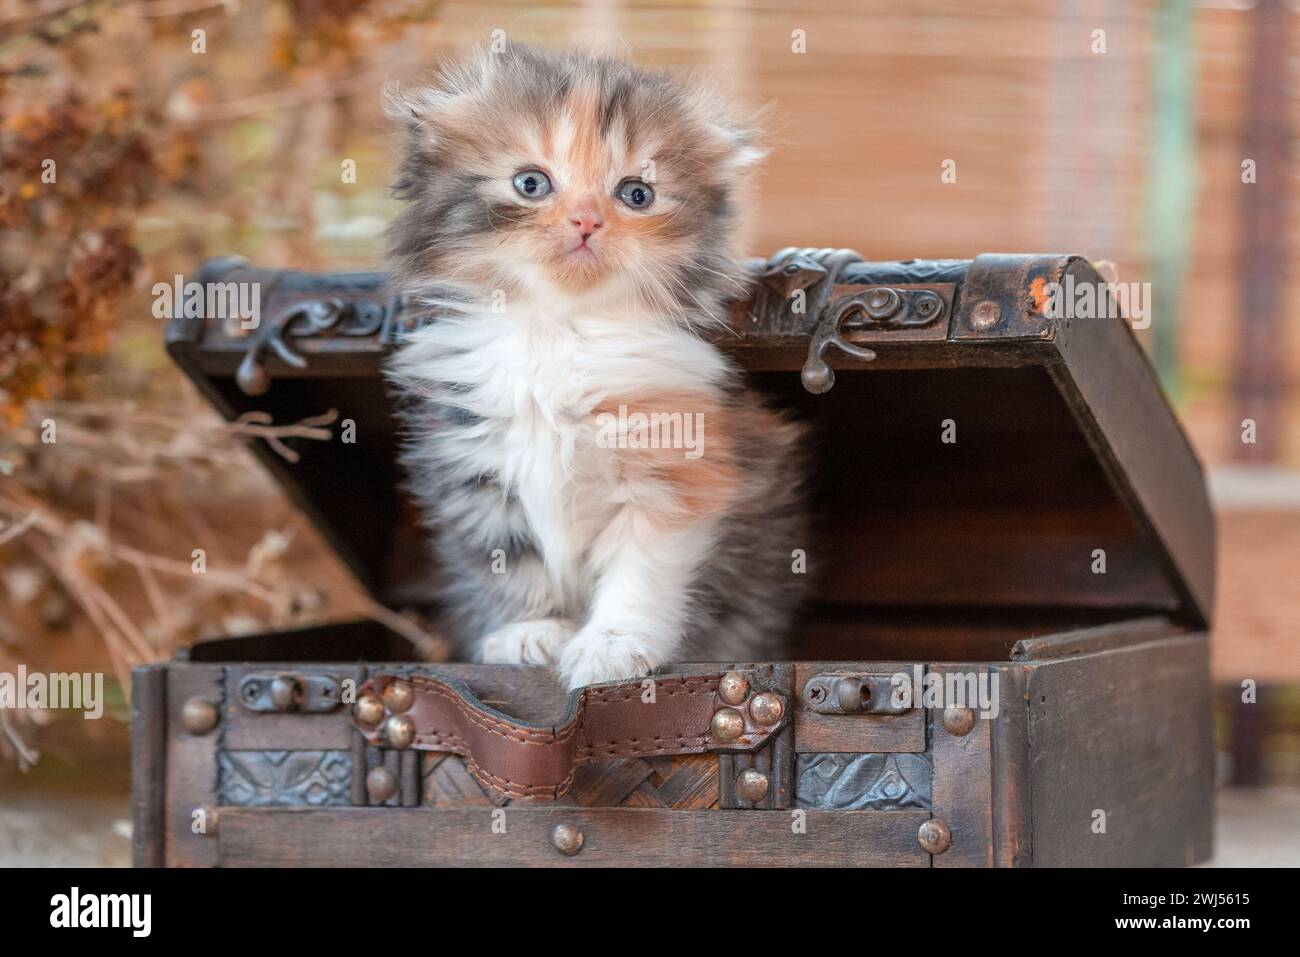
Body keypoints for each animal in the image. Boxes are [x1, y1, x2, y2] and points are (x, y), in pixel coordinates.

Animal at [382, 44, 800, 686]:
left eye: (636, 194)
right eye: (531, 183)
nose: (585, 220)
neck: (558, 332)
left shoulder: (677, 468)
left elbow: (639, 572)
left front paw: (611, 648)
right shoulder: (475, 474)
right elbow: (508, 563)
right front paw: (530, 632)